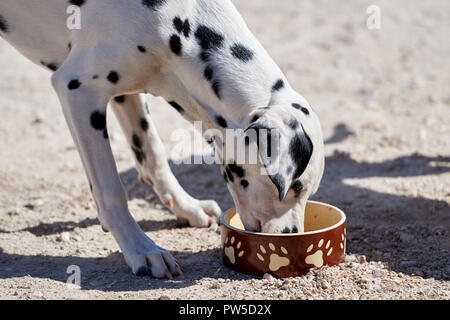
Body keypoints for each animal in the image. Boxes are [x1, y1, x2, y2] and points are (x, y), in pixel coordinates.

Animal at [0, 0, 324, 278]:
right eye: (293, 187)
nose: (292, 238)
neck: (177, 22)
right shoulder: (77, 90)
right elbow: (111, 190)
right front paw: (141, 250)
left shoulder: (127, 91)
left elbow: (153, 154)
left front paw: (185, 206)